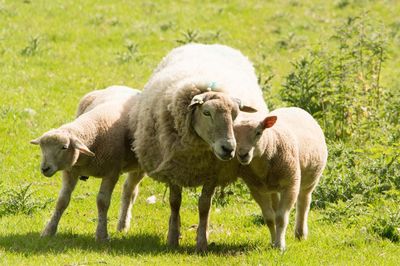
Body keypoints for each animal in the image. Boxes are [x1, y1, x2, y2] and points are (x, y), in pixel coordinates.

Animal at [31, 85, 144, 241]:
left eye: (64, 147)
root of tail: (127, 87)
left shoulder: (112, 172)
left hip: (140, 166)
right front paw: (49, 230)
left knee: (129, 192)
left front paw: (102, 235)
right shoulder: (71, 170)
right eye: (42, 147)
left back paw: (123, 225)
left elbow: (102, 202)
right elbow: (62, 200)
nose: (45, 168)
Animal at [133, 43, 268, 251]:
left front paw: (202, 241)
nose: (228, 148)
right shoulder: (174, 168)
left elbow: (205, 205)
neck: (196, 155)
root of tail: (208, 44)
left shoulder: (213, 172)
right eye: (206, 113)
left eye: (236, 115)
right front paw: (172, 238)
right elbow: (175, 202)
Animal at [234, 106, 328, 249]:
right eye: (233, 134)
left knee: (303, 203)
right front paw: (274, 242)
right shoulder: (256, 189)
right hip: (273, 187)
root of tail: (293, 108)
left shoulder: (291, 184)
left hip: (310, 178)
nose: (243, 154)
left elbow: (281, 218)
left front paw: (280, 246)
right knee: (276, 205)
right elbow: (269, 218)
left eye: (258, 133)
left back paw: (300, 234)